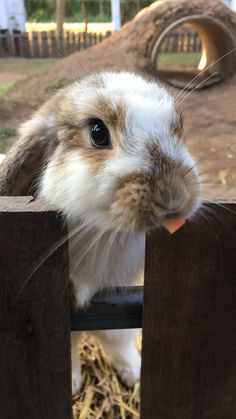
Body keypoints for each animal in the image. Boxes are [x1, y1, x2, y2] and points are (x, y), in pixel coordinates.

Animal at [0, 72, 201, 398]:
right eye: (97, 132)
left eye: (178, 127)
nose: (173, 196)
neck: (105, 234)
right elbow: (69, 348)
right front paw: (72, 383)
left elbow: (117, 339)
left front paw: (134, 373)